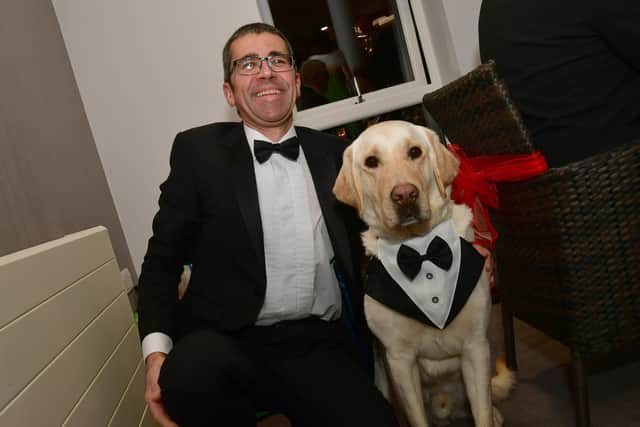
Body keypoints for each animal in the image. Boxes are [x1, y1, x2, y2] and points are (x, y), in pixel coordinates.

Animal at [332, 120, 512, 427]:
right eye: (371, 162)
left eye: (414, 152)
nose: (405, 195)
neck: (420, 248)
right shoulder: (400, 361)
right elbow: (416, 416)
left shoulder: (475, 348)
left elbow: (482, 413)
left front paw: (489, 415)